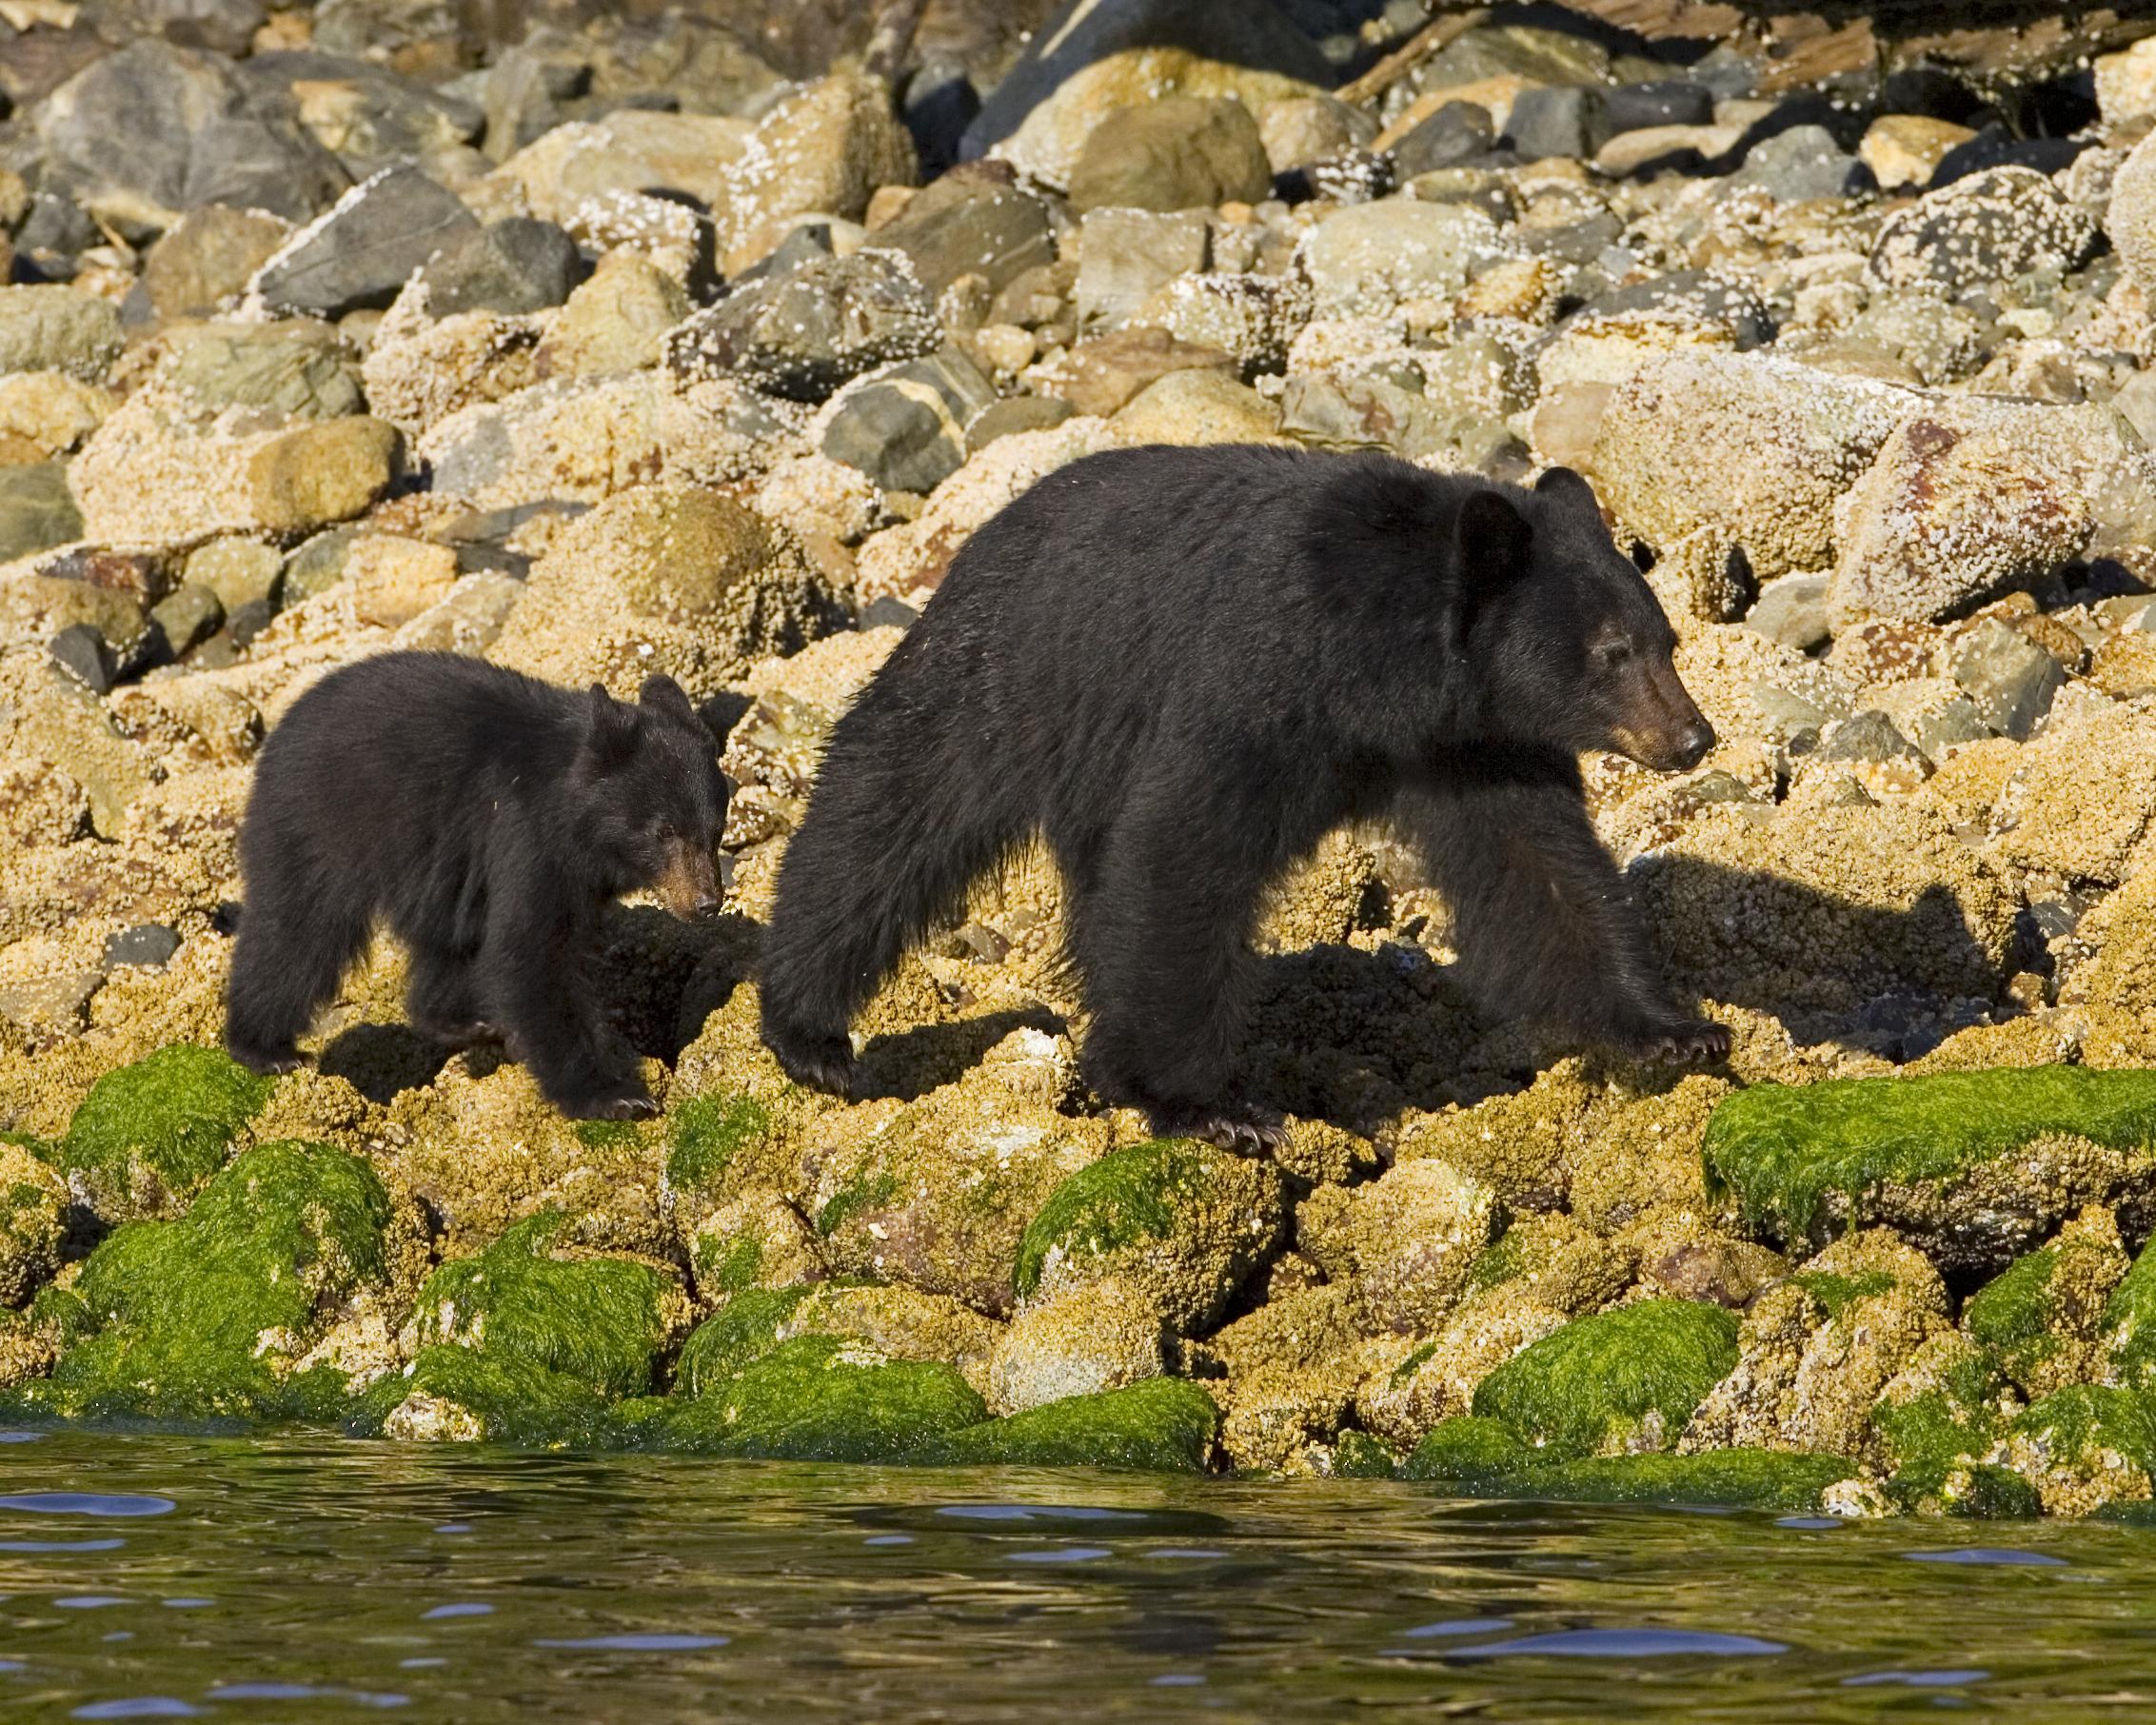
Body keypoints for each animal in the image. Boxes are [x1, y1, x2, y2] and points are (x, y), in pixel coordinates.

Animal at [225, 651, 730, 1120]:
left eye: (716, 831)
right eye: (665, 831)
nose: (706, 902)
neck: (575, 819)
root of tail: (281, 730)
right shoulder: (527, 837)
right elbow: (532, 954)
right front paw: (613, 1094)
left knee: (448, 942)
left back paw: (463, 1022)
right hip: (319, 825)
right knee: (297, 933)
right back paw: (264, 1048)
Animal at [758, 444, 1725, 1149]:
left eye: (1665, 639)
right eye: (1611, 652)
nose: (1692, 739)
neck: (1381, 667)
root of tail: (983, 531)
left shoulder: (1473, 746)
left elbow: (1542, 871)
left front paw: (1673, 1027)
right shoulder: (1255, 683)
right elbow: (1180, 857)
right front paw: (1209, 1103)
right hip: (1008, 673)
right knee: (887, 810)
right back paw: (809, 1030)